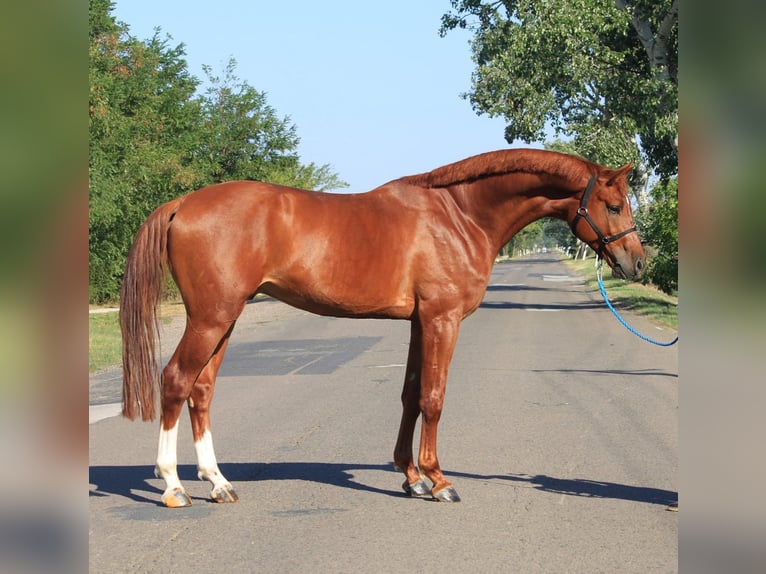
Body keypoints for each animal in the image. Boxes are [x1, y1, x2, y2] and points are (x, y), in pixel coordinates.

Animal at [121, 147, 648, 508]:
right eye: (615, 205)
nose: (638, 263)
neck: (459, 215)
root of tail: (183, 203)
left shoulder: (419, 322)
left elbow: (411, 394)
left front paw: (411, 476)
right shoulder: (442, 320)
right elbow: (434, 398)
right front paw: (439, 481)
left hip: (223, 320)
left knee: (202, 389)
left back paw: (218, 482)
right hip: (211, 319)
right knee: (176, 382)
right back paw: (172, 486)